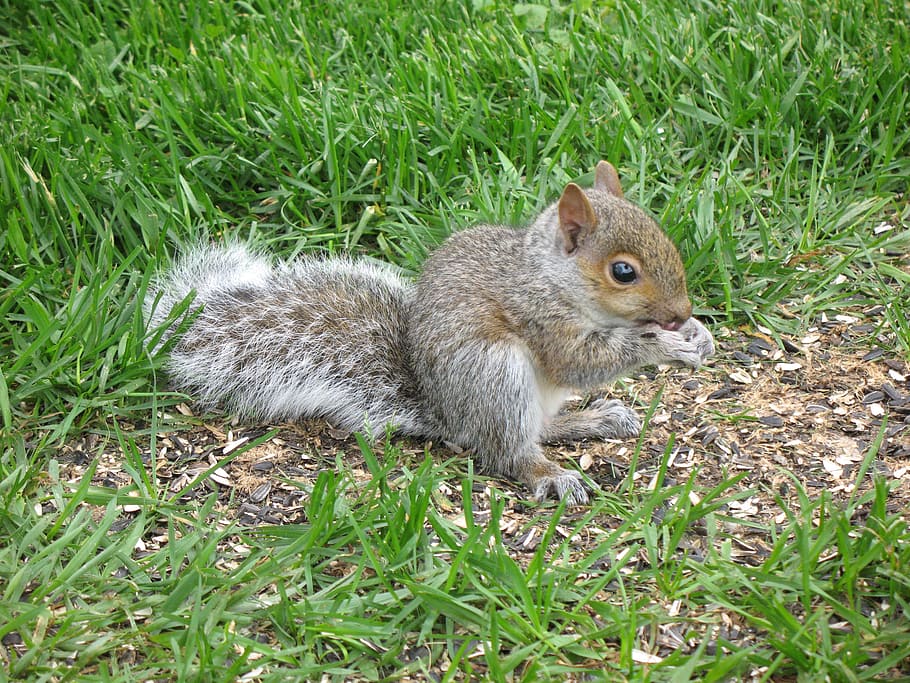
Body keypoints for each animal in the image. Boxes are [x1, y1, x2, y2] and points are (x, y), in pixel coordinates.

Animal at [146, 161, 715, 505]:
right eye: (623, 272)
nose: (680, 310)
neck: (549, 274)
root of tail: (444, 413)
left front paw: (698, 334)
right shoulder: (539, 317)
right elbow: (581, 361)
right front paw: (666, 345)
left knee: (539, 428)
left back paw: (594, 418)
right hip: (495, 373)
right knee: (507, 450)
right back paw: (550, 473)